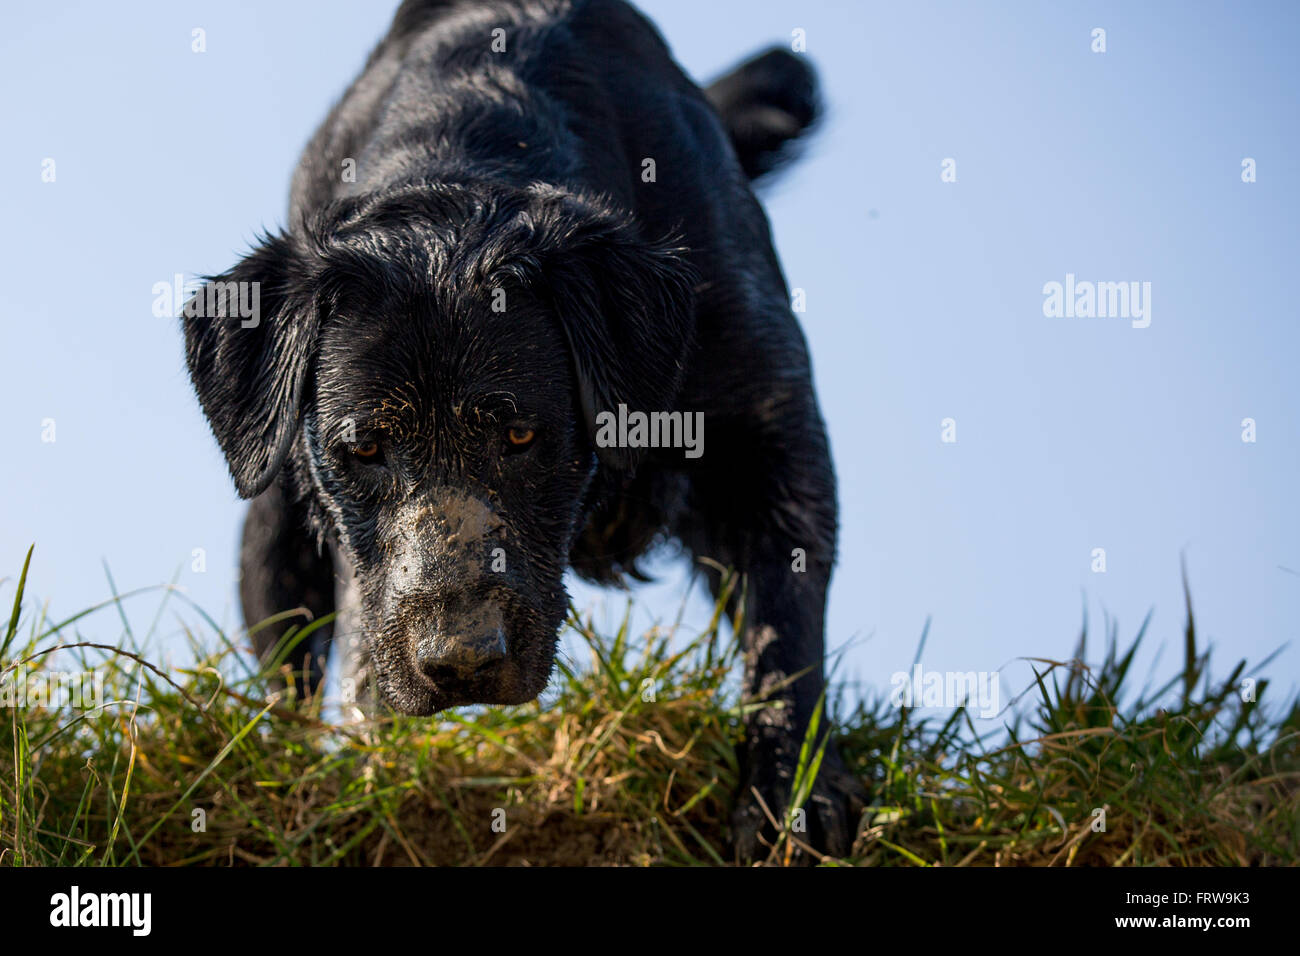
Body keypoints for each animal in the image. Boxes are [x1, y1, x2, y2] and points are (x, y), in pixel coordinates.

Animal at [183, 0, 863, 858]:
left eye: (520, 437)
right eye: (363, 448)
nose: (458, 661)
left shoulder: (768, 429)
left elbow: (784, 630)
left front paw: (790, 795)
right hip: (270, 521)